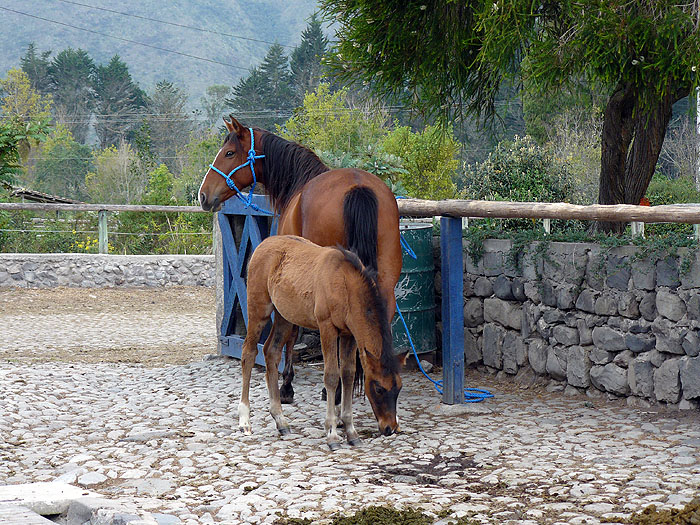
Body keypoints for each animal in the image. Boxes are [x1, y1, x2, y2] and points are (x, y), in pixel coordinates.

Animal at [199, 116, 402, 404]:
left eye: (229, 153)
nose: (203, 195)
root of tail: (357, 185)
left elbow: (293, 330)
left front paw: (287, 385)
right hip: (385, 281)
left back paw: (334, 392)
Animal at [239, 235, 404, 450]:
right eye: (378, 388)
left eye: (399, 388)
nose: (390, 428)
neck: (345, 283)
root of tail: (262, 245)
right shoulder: (327, 328)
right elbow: (332, 376)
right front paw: (332, 434)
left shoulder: (349, 334)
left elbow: (348, 375)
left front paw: (351, 432)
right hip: (259, 309)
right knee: (249, 353)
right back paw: (244, 421)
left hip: (285, 316)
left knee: (271, 352)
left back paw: (281, 421)